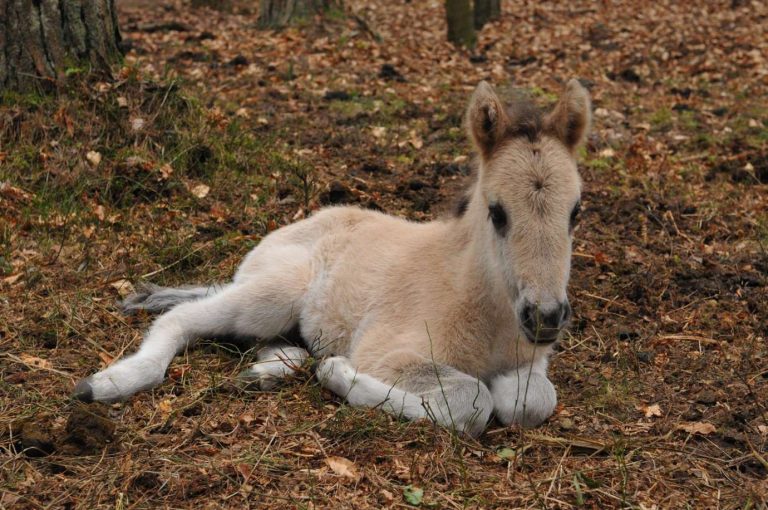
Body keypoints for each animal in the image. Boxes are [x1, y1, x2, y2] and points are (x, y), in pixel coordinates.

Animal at [75, 77, 592, 436]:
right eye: (497, 212)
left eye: (576, 211)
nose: (546, 318)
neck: (479, 303)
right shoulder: (386, 352)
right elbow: (473, 399)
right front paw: (340, 374)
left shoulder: (531, 363)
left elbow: (531, 400)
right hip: (274, 293)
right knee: (181, 319)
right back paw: (108, 383)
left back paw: (264, 373)